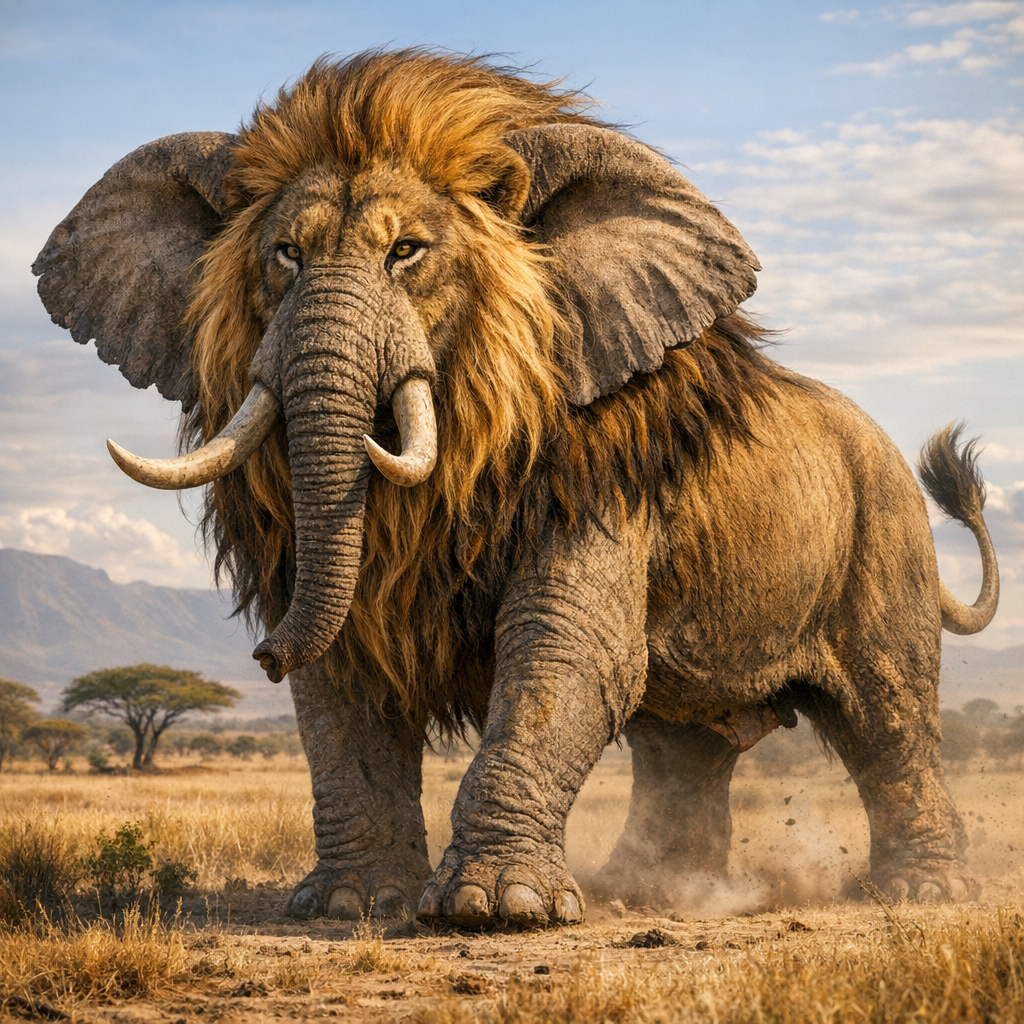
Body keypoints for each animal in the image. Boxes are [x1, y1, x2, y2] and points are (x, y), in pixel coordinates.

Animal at [35, 50, 999, 926]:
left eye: (407, 252)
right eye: (284, 254)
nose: (264, 657)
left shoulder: (600, 486)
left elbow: (562, 660)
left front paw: (499, 906)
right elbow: (341, 687)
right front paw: (351, 905)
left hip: (884, 549)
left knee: (891, 726)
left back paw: (920, 893)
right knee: (682, 749)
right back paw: (653, 891)